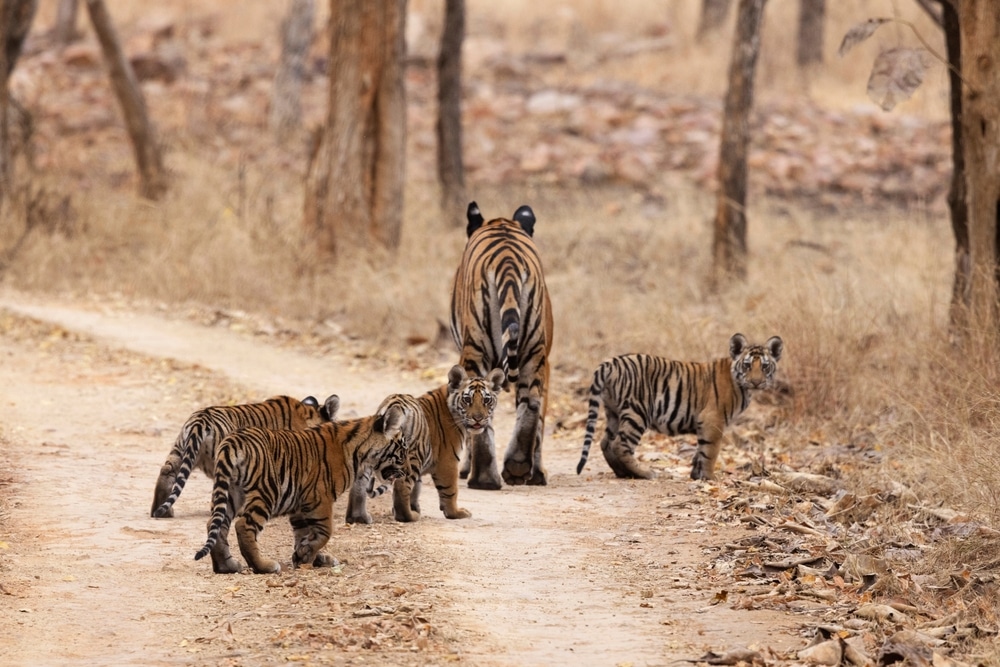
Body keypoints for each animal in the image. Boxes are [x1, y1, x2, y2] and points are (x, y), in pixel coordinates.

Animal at [193, 400, 408, 576]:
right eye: (403, 448)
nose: (406, 470)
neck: (361, 452)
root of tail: (233, 440)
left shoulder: (299, 505)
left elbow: (305, 534)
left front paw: (307, 556)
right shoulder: (320, 498)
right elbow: (325, 531)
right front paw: (306, 556)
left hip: (230, 492)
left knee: (215, 525)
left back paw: (226, 566)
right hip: (266, 492)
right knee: (243, 526)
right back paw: (264, 566)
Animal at [348, 368, 504, 524]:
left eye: (486, 400)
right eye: (467, 399)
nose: (478, 418)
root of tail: (395, 404)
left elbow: (417, 488)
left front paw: (414, 507)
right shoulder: (448, 460)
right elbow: (450, 489)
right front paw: (455, 513)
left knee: (358, 485)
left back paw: (358, 518)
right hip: (411, 457)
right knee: (401, 486)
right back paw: (409, 516)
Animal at [454, 201, 556, 488]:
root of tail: (508, 261)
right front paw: (537, 473)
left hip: (475, 348)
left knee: (479, 405)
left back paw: (483, 478)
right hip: (533, 348)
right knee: (532, 403)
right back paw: (517, 467)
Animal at [576, 336, 784, 482]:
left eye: (765, 366)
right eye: (747, 365)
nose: (756, 382)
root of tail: (610, 362)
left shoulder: (704, 424)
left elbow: (700, 450)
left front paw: (696, 475)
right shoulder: (713, 420)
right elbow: (711, 451)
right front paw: (709, 478)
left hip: (614, 412)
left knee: (606, 442)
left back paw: (623, 472)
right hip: (638, 412)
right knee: (620, 444)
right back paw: (645, 473)